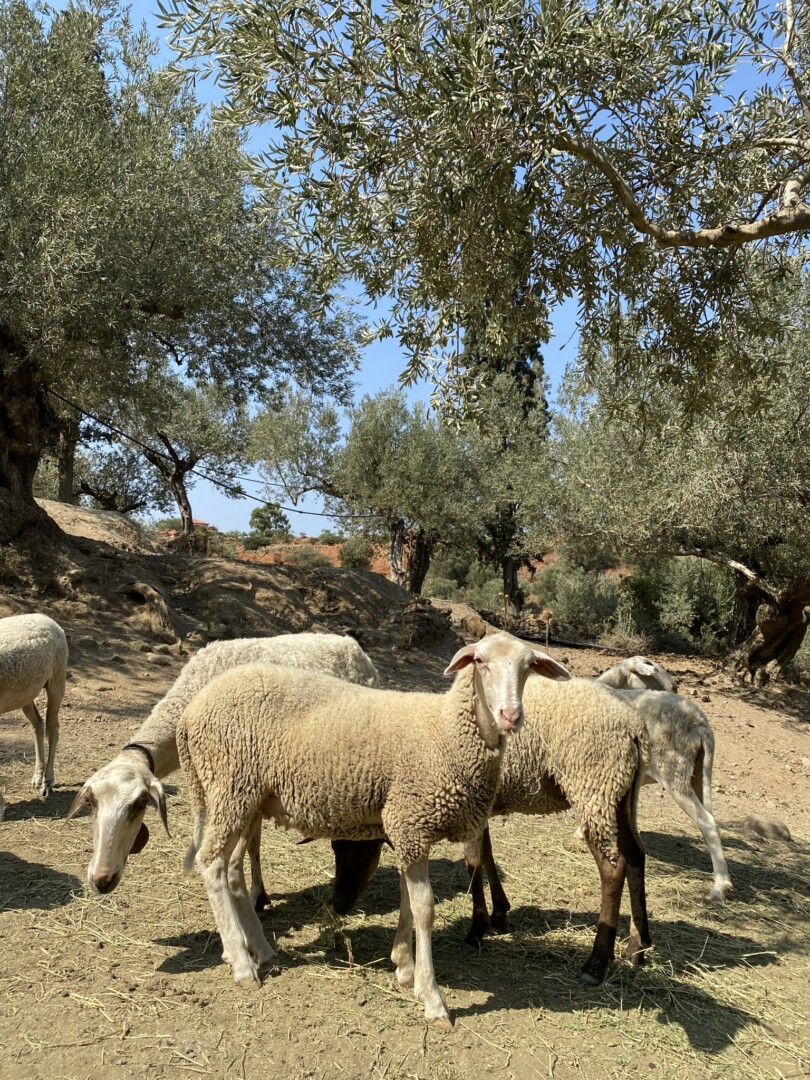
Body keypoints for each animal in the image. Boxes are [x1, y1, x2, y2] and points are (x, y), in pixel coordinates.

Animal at [0, 613, 68, 812]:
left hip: (57, 679)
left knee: (53, 728)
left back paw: (47, 782)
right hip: (27, 694)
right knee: (38, 724)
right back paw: (37, 777)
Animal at [67, 630, 384, 898]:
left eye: (140, 803)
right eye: (91, 804)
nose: (101, 880)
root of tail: (353, 646)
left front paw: (254, 897)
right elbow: (252, 844)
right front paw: (256, 894)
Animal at [177, 630, 570, 1028]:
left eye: (529, 666)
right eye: (479, 662)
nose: (511, 715)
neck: (445, 731)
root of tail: (191, 712)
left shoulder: (409, 830)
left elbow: (408, 901)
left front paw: (405, 967)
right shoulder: (410, 821)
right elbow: (424, 909)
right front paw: (432, 997)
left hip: (247, 799)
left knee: (232, 869)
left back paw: (260, 949)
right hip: (230, 787)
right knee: (211, 864)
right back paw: (242, 964)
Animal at [591, 660, 734, 898]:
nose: (674, 686)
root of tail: (702, 725)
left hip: (674, 772)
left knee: (707, 822)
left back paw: (720, 887)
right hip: (698, 774)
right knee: (709, 820)